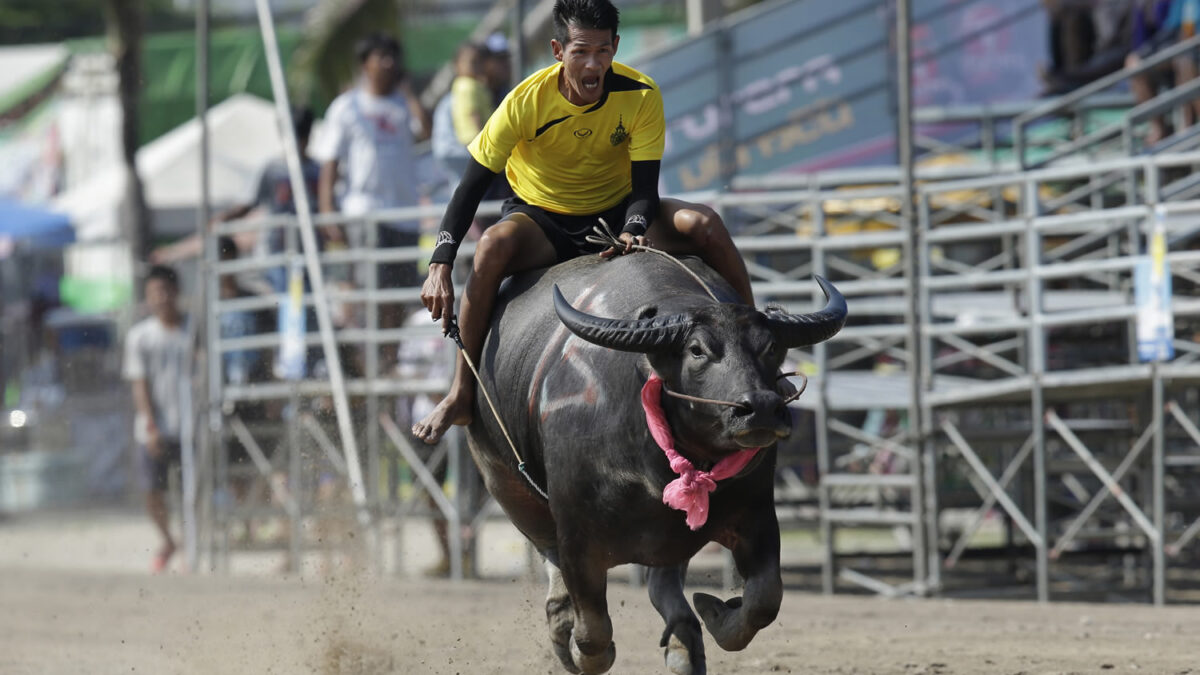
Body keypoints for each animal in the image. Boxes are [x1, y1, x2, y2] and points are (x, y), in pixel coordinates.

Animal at [458, 251, 844, 672]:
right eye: (697, 350)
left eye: (771, 347)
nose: (760, 408)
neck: (651, 463)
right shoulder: (576, 536)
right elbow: (593, 632)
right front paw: (576, 645)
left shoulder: (755, 512)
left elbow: (764, 599)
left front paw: (714, 611)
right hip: (510, 491)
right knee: (552, 564)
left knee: (666, 582)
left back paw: (683, 641)